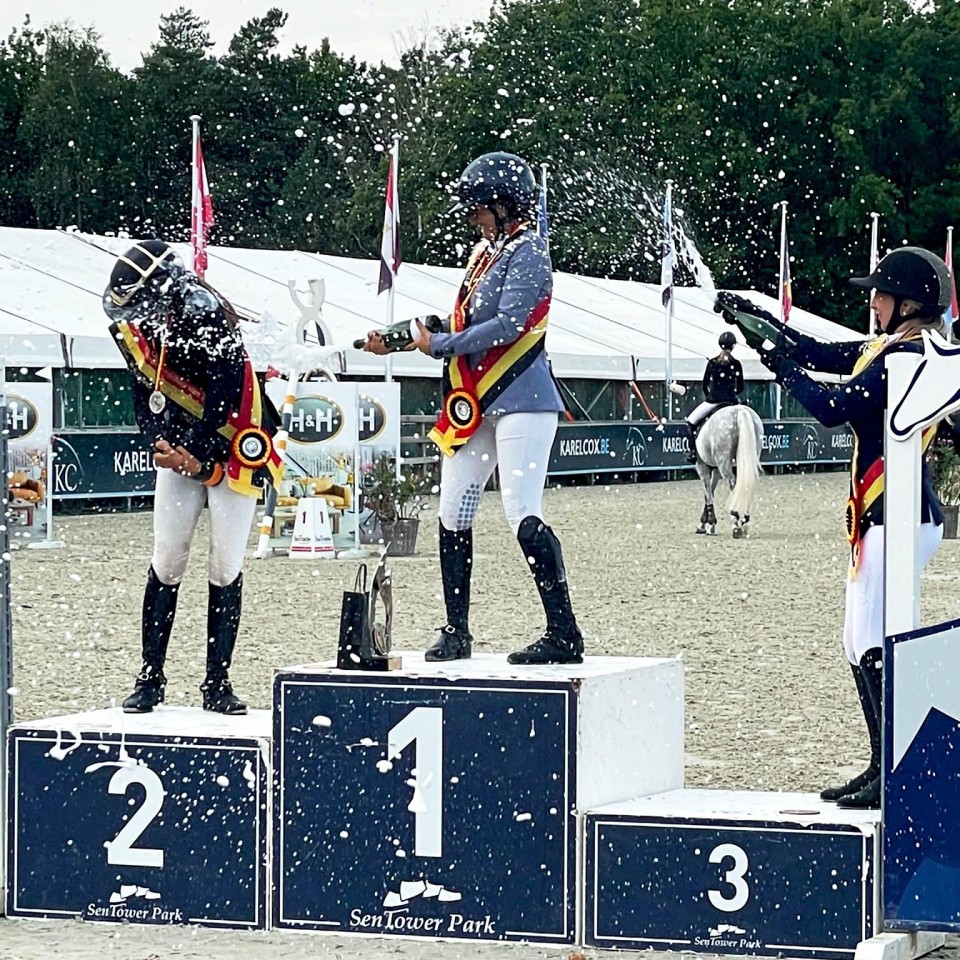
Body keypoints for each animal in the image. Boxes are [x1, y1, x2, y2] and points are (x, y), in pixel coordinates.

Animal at [692, 404, 760, 540]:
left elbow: (708, 495)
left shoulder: (702, 467)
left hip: (724, 464)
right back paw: (744, 522)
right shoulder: (716, 470)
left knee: (733, 483)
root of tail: (739, 410)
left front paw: (711, 525)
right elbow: (710, 493)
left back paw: (736, 524)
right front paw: (704, 524)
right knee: (746, 485)